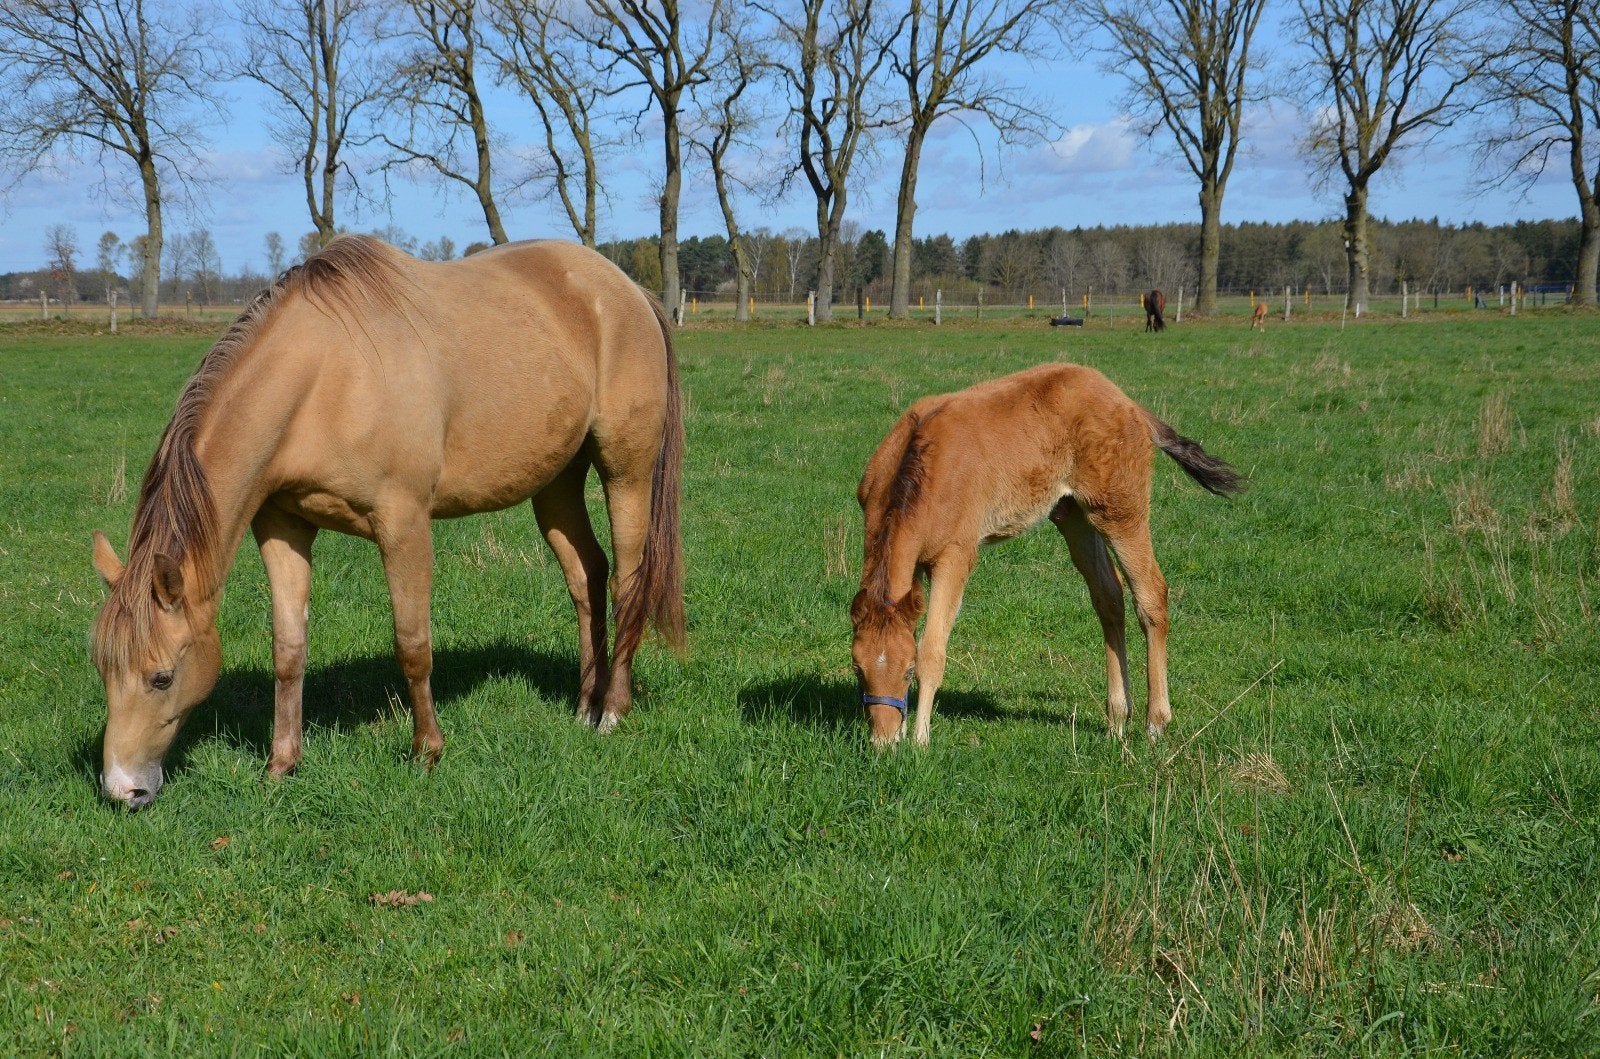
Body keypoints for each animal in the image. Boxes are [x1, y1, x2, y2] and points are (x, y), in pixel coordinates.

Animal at [90, 236, 685, 809]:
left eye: (162, 677)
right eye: (102, 667)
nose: (123, 789)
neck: (324, 377)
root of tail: (630, 291)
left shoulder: (404, 524)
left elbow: (413, 644)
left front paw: (427, 751)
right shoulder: (282, 526)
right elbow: (288, 649)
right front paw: (281, 764)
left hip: (625, 472)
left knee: (629, 581)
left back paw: (613, 710)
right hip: (557, 483)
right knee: (587, 576)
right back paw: (584, 704)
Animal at [850, 363, 1244, 748]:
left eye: (908, 670)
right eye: (858, 669)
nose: (882, 741)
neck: (925, 464)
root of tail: (1129, 403)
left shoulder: (955, 556)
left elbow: (932, 649)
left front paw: (919, 741)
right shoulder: (913, 563)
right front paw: (903, 734)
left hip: (1120, 511)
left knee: (1150, 596)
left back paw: (1155, 723)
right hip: (1073, 514)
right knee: (1108, 596)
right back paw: (1117, 721)